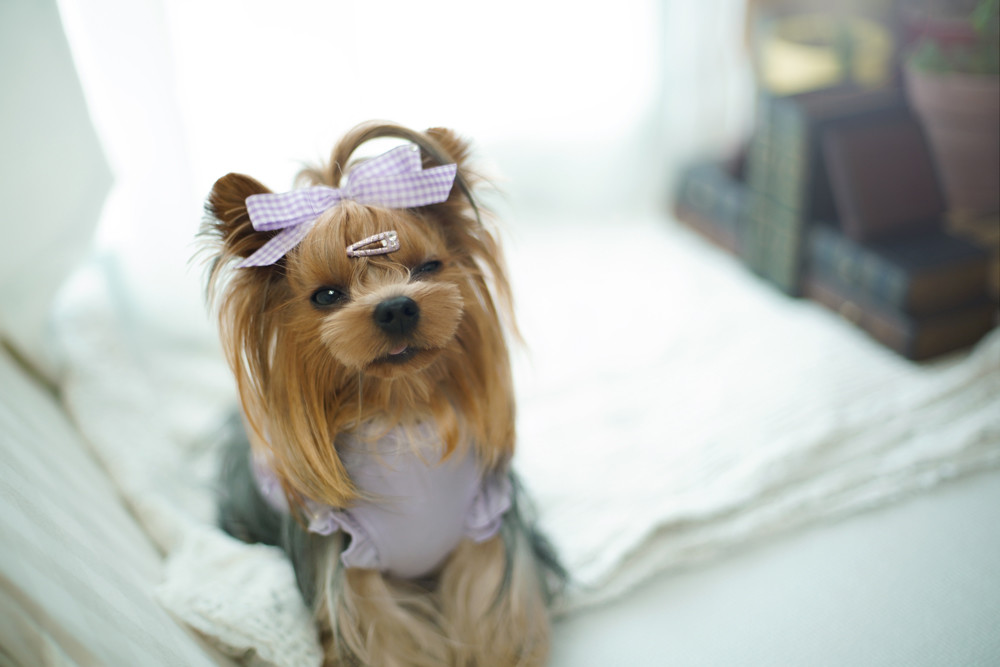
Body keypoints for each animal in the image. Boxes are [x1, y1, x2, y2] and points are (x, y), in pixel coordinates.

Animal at [200, 122, 564, 666]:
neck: (401, 409)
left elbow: (489, 611)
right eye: (327, 296)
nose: (396, 308)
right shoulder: (351, 567)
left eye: (429, 267)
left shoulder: (485, 530)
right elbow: (383, 635)